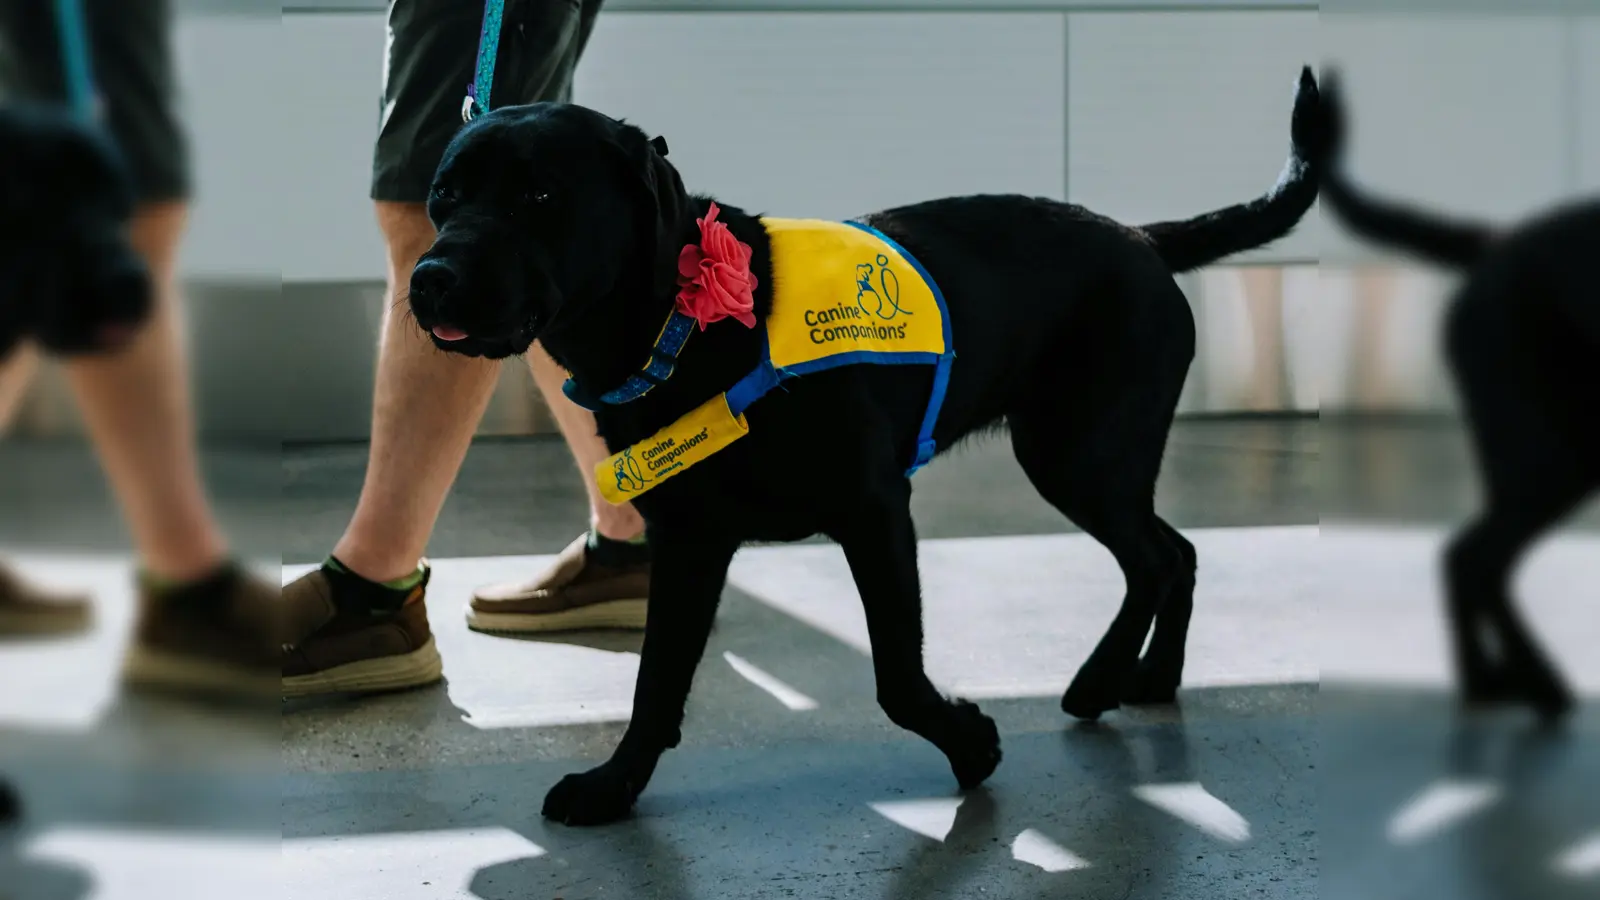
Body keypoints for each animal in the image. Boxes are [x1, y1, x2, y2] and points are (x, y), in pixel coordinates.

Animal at [409, 66, 1324, 819]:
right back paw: (1150, 677)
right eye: (443, 198)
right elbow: (655, 681)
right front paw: (615, 786)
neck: (689, 327)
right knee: (1176, 553)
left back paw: (1107, 678)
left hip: (1078, 454)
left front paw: (970, 744)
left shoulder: (875, 511)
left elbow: (896, 676)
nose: (429, 279)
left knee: (1158, 558)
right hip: (1092, 458)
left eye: (540, 197)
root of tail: (1140, 237)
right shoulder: (690, 542)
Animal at [1318, 70, 1593, 717]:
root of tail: (1496, 240)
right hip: (1550, 454)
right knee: (1475, 560)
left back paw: (1490, 680)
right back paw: (1531, 684)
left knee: (1469, 559)